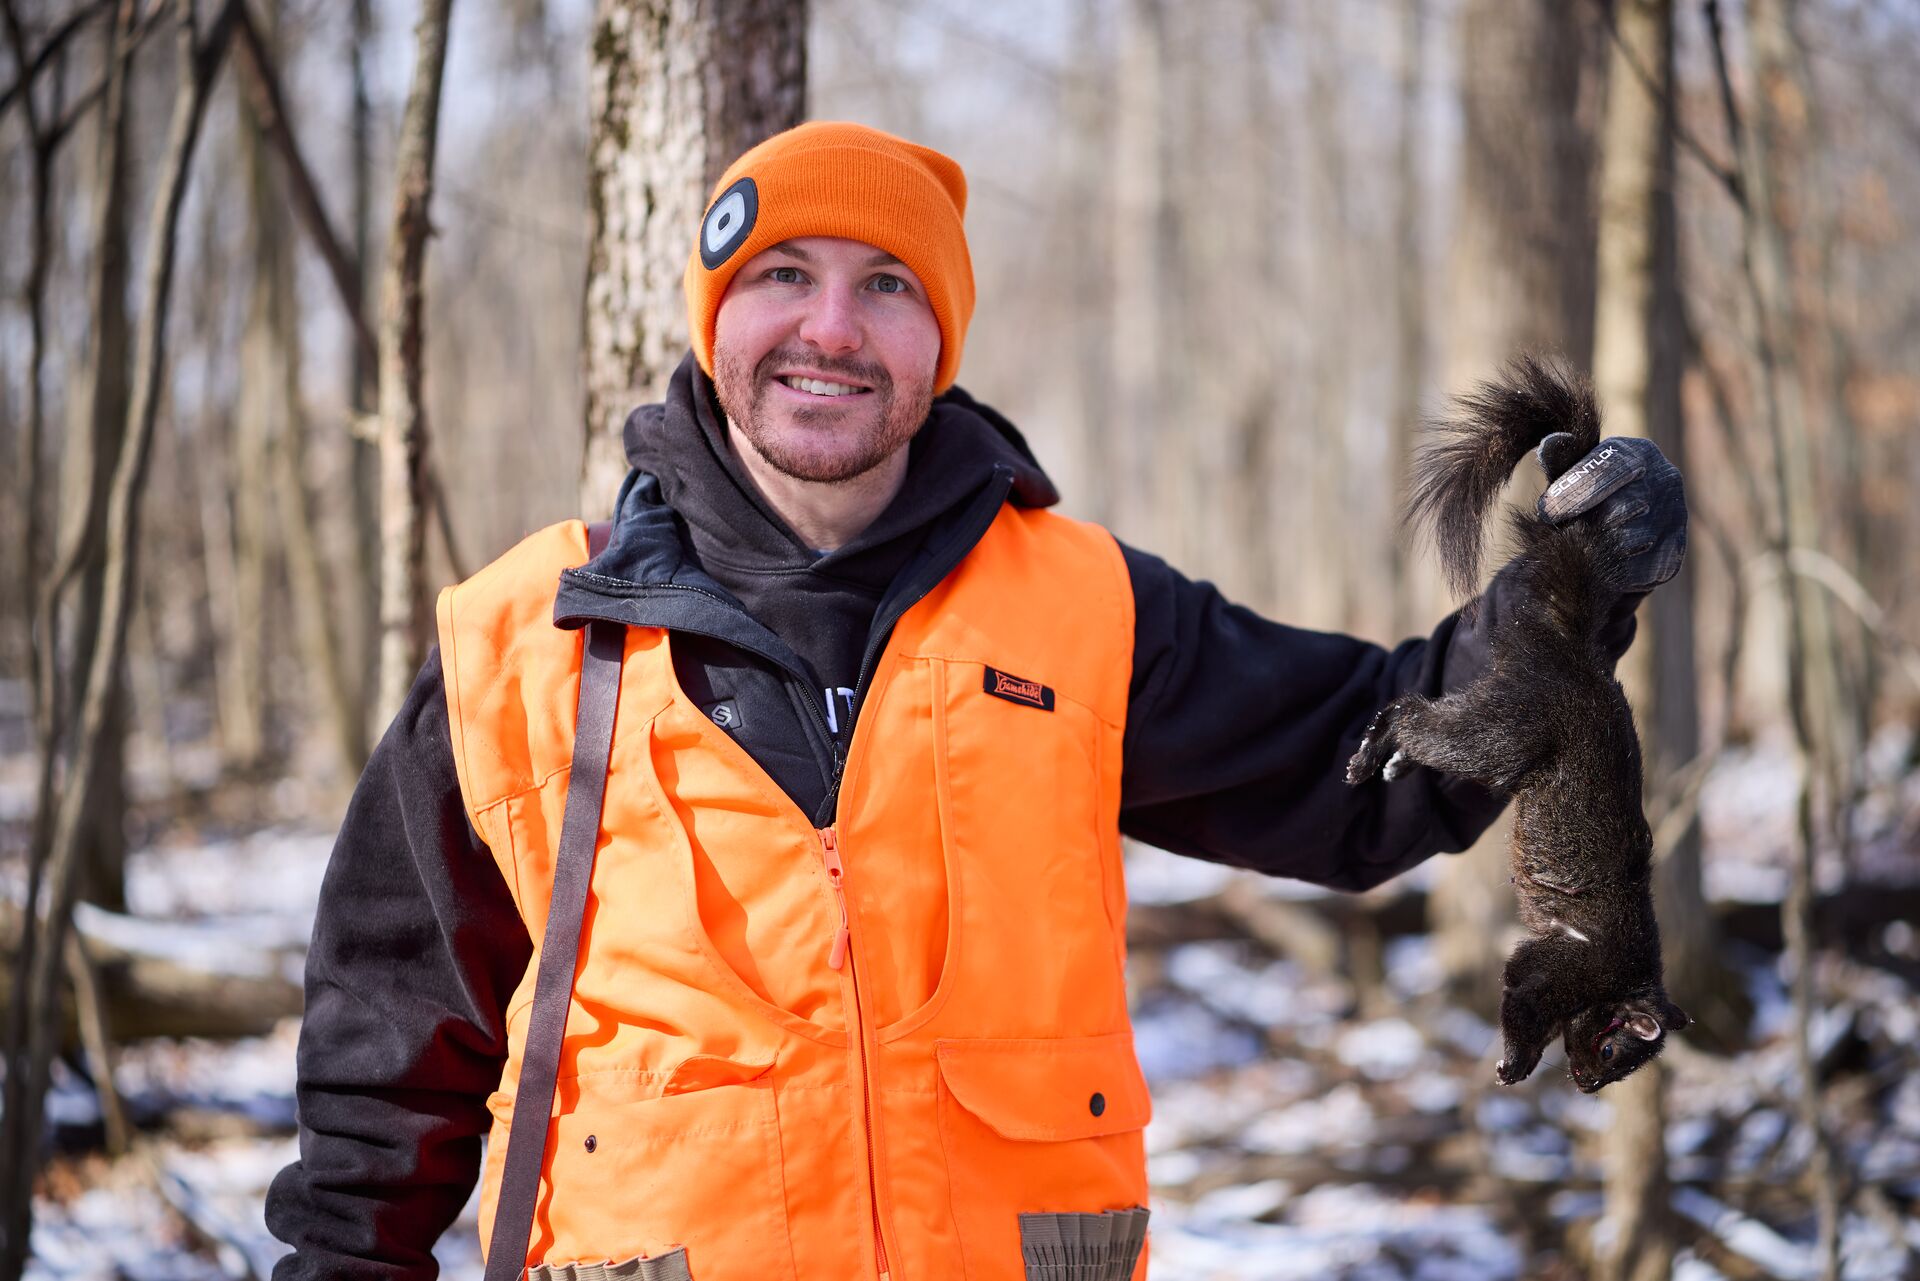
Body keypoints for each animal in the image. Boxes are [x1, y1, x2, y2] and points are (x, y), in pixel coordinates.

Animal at [1345, 356, 1689, 1093]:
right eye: (1616, 1052)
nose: (1587, 1084)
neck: (1622, 975)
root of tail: (1567, 648)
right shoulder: (1566, 964)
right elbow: (1523, 990)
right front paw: (1513, 1063)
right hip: (1509, 728)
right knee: (1414, 715)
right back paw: (1376, 749)